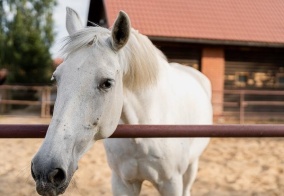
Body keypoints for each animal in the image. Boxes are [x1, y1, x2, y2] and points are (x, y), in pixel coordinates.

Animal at [32, 7, 212, 196]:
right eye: (56, 77)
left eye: (107, 83)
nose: (46, 171)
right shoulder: (122, 182)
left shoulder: (171, 183)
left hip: (191, 167)